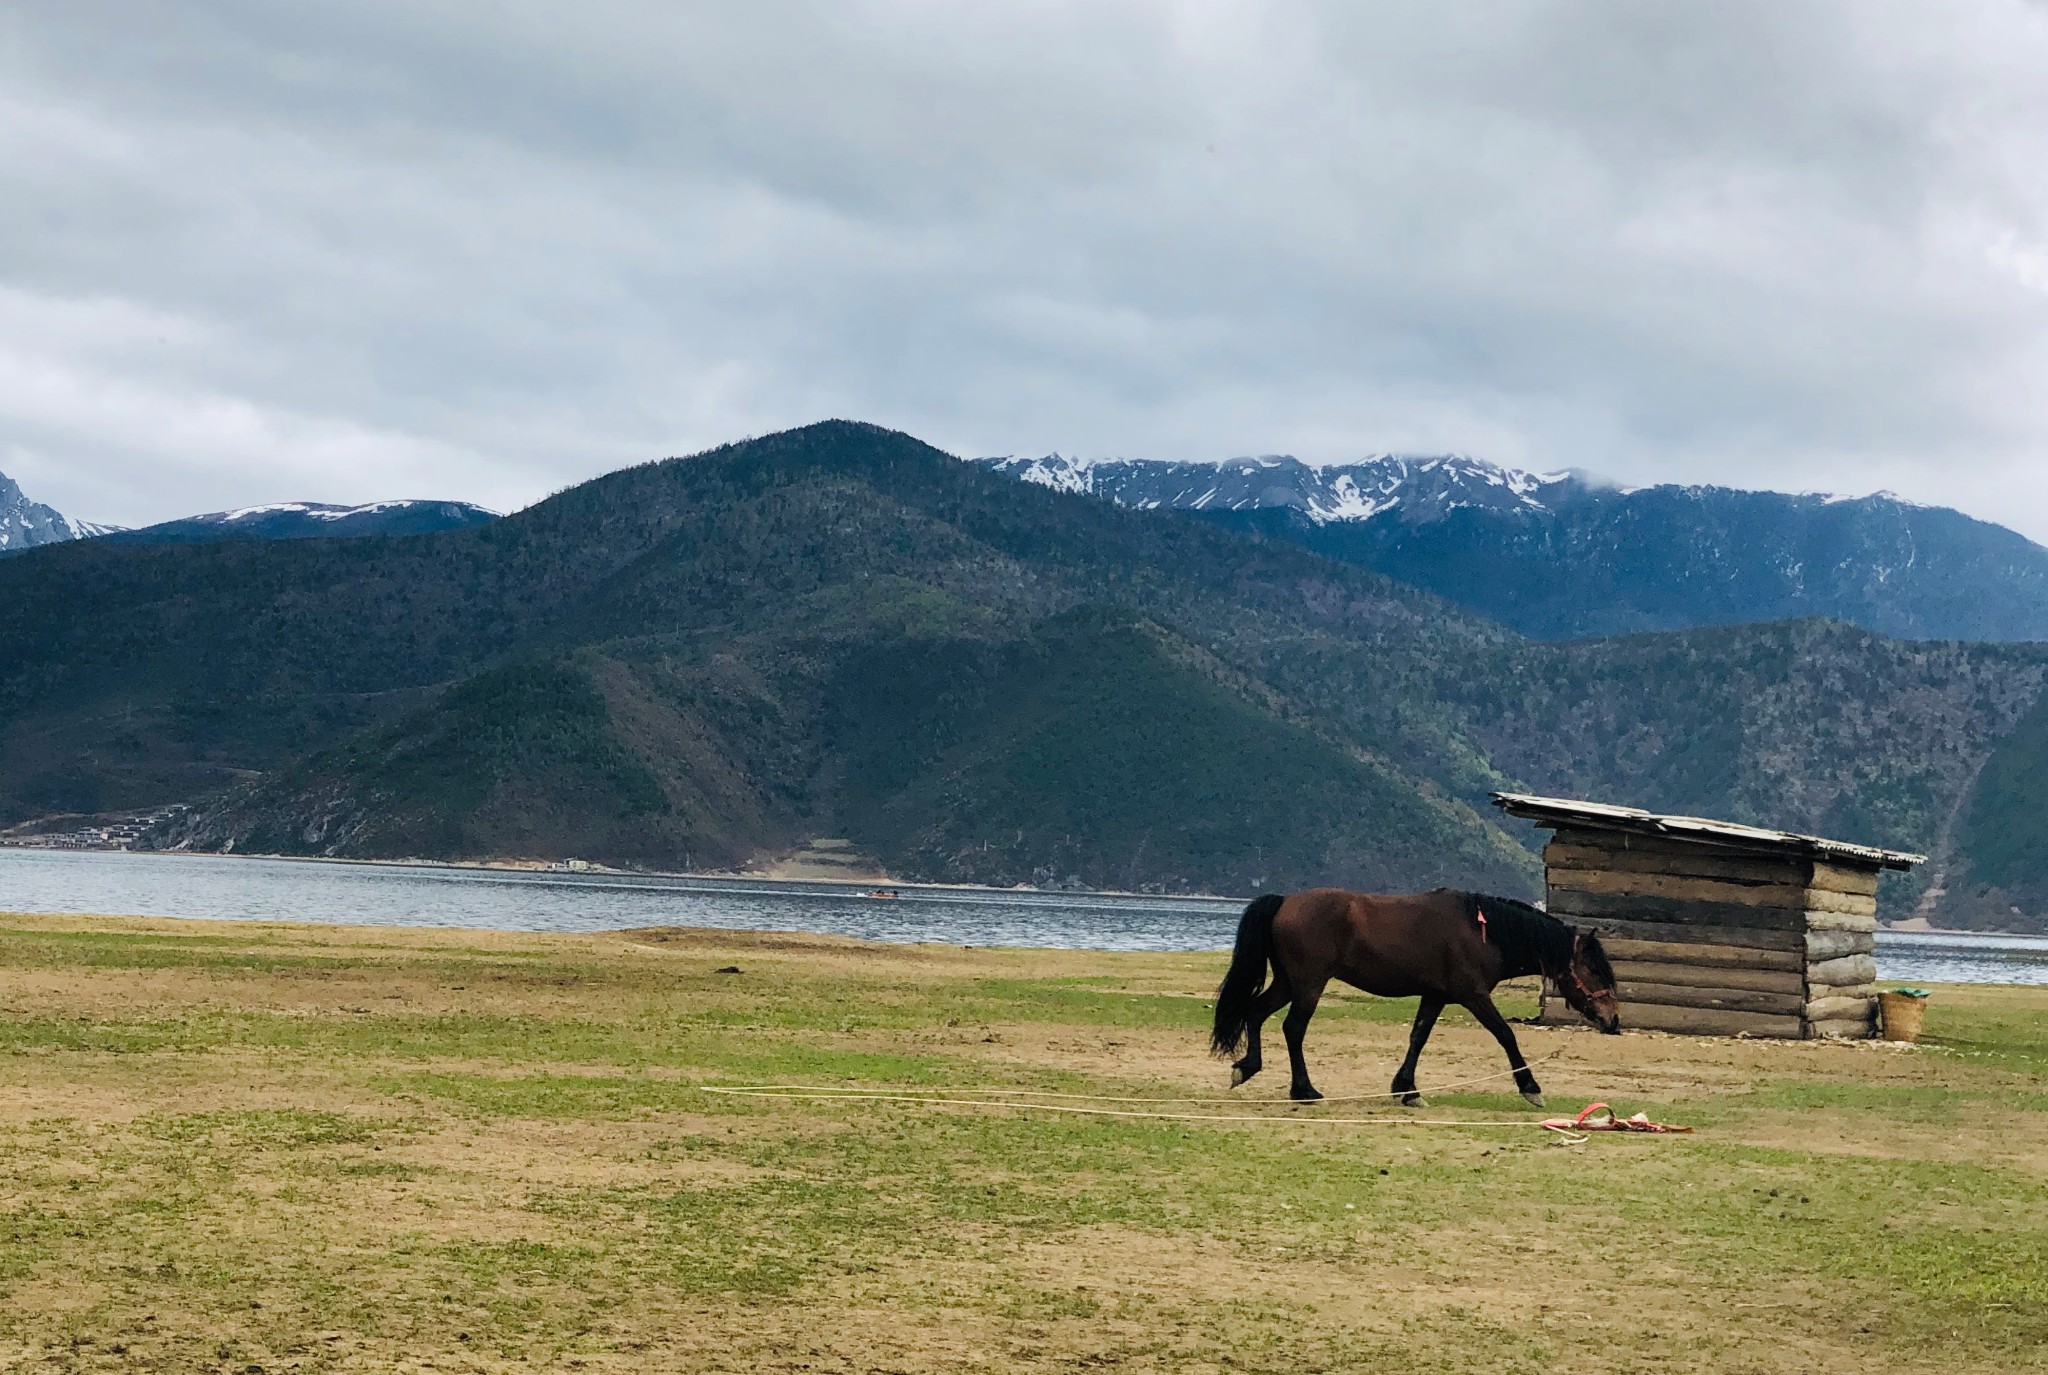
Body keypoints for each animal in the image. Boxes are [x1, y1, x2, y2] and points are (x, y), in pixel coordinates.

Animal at [1204, 893, 1622, 1106]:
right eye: (1595, 969)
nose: (1613, 1020)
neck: (1482, 931)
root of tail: (1285, 900)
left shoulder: (1435, 997)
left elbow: (1417, 1038)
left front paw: (1406, 1089)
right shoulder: (1473, 995)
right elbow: (1506, 1035)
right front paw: (1530, 1088)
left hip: (1289, 982)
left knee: (1256, 1012)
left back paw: (1247, 1067)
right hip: (1308, 984)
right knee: (1293, 1028)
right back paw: (1304, 1090)